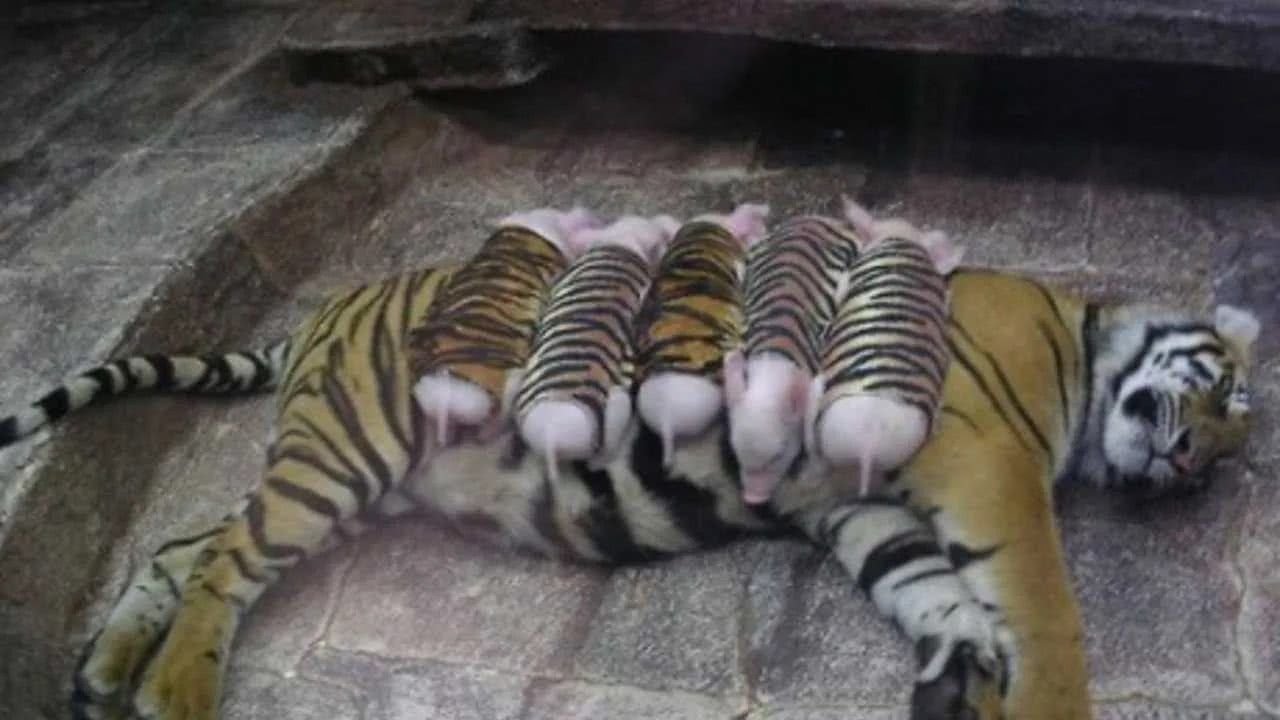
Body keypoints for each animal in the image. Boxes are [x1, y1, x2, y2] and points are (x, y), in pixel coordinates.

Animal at [0, 261, 1258, 720]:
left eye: (1220, 456)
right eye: (1227, 396)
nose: (1189, 465)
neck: (1083, 343)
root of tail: (335, 302)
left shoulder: (862, 510)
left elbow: (936, 598)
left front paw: (959, 683)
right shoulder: (984, 459)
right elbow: (1042, 604)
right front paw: (1038, 697)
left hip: (351, 481)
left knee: (190, 545)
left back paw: (110, 669)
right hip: (345, 451)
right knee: (222, 562)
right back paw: (173, 695)